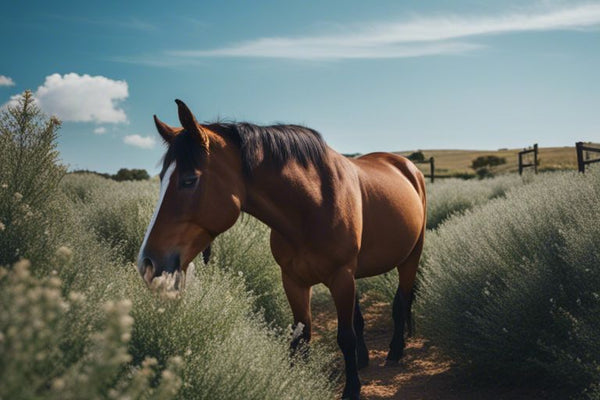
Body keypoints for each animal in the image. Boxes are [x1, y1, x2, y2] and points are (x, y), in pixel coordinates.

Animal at [136, 100, 426, 400]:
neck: (313, 205)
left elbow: (345, 336)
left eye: (189, 180)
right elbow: (301, 337)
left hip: (410, 257)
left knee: (400, 302)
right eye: (162, 178)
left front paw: (352, 389)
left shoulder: (341, 276)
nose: (147, 263)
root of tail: (408, 167)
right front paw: (295, 382)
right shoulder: (294, 280)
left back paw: (395, 351)